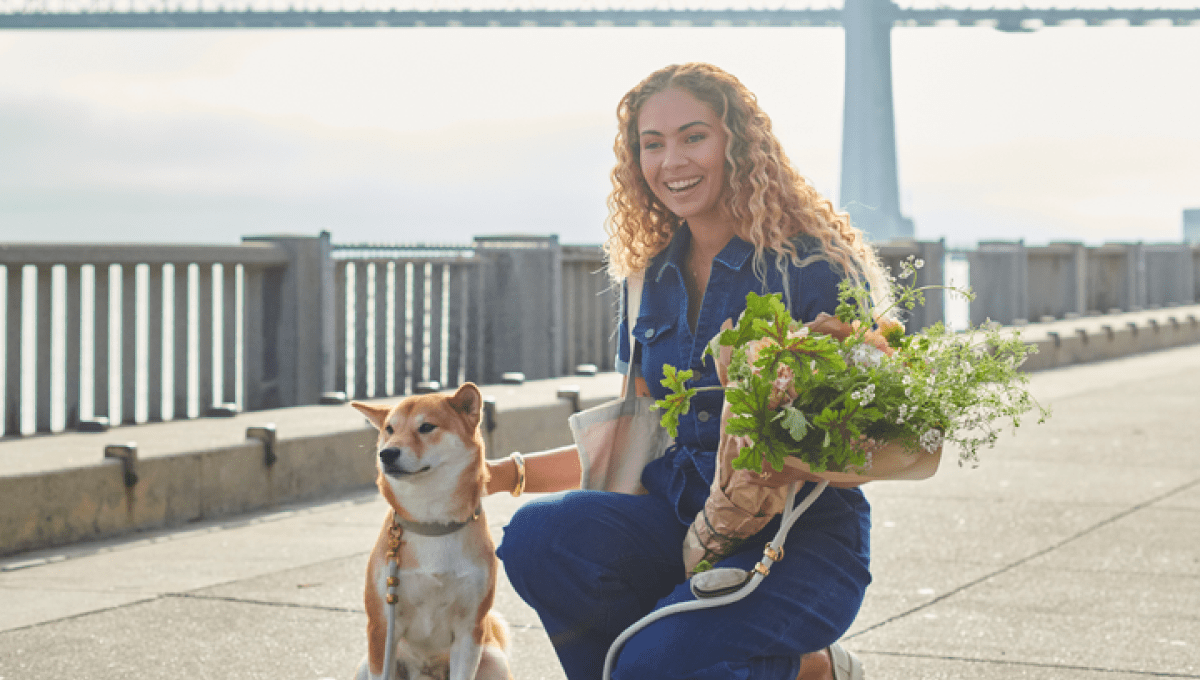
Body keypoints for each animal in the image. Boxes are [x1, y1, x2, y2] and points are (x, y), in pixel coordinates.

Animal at [350, 386, 511, 680]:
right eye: (389, 429)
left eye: (426, 427)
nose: (386, 454)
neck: (431, 524)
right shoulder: (382, 626)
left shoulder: (470, 629)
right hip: (367, 664)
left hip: (495, 659)